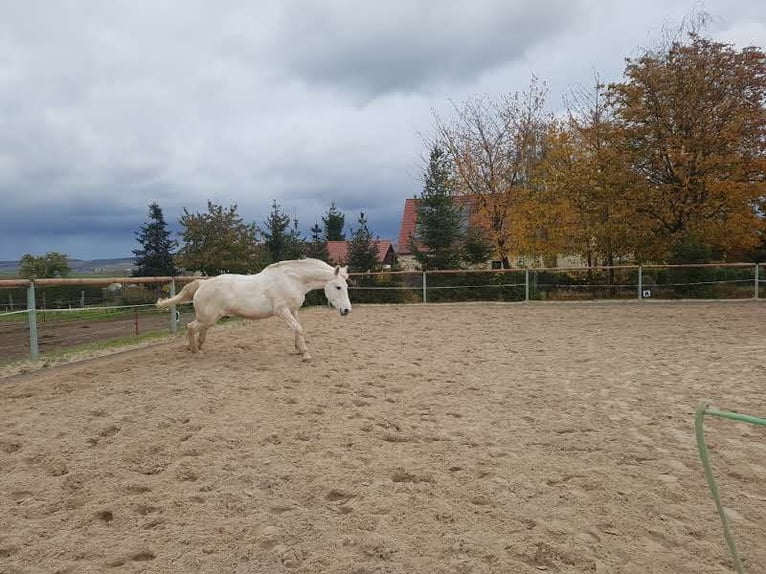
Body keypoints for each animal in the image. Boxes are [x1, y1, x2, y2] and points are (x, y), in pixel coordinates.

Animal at [160, 260, 356, 362]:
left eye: (346, 286)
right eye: (338, 287)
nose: (347, 310)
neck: (292, 280)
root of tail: (203, 283)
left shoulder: (293, 310)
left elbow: (297, 329)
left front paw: (298, 350)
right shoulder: (282, 311)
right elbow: (298, 329)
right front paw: (306, 355)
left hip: (211, 318)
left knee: (199, 331)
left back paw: (197, 347)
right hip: (208, 318)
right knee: (190, 327)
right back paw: (196, 351)